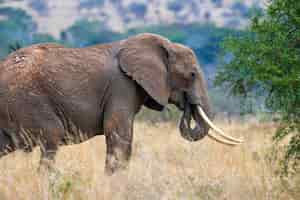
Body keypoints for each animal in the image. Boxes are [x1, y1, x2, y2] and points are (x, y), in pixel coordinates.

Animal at [0, 32, 241, 173]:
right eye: (191, 75)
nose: (188, 105)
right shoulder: (121, 86)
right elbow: (118, 133)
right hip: (25, 100)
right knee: (52, 137)